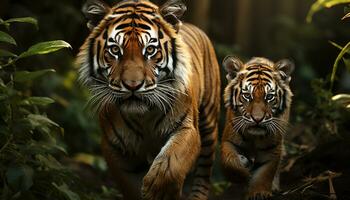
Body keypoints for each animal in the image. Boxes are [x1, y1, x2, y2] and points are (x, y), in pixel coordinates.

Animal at [76, 0, 221, 199]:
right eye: (115, 50)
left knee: (204, 173)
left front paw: (160, 191)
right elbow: (130, 185)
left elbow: (172, 163)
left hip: (209, 125)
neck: (143, 116)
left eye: (150, 50)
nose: (133, 85)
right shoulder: (113, 147)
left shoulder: (187, 129)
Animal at [221, 56, 292, 200]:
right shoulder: (229, 140)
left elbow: (264, 173)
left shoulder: (272, 149)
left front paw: (259, 193)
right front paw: (243, 172)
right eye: (247, 96)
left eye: (269, 97)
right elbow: (229, 162)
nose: (257, 119)